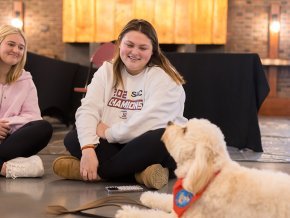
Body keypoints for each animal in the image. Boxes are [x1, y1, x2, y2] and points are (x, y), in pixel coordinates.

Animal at [115, 118, 290, 217]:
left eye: (185, 130)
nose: (169, 123)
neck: (210, 177)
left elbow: (151, 216)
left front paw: (127, 212)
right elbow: (167, 199)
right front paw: (150, 196)